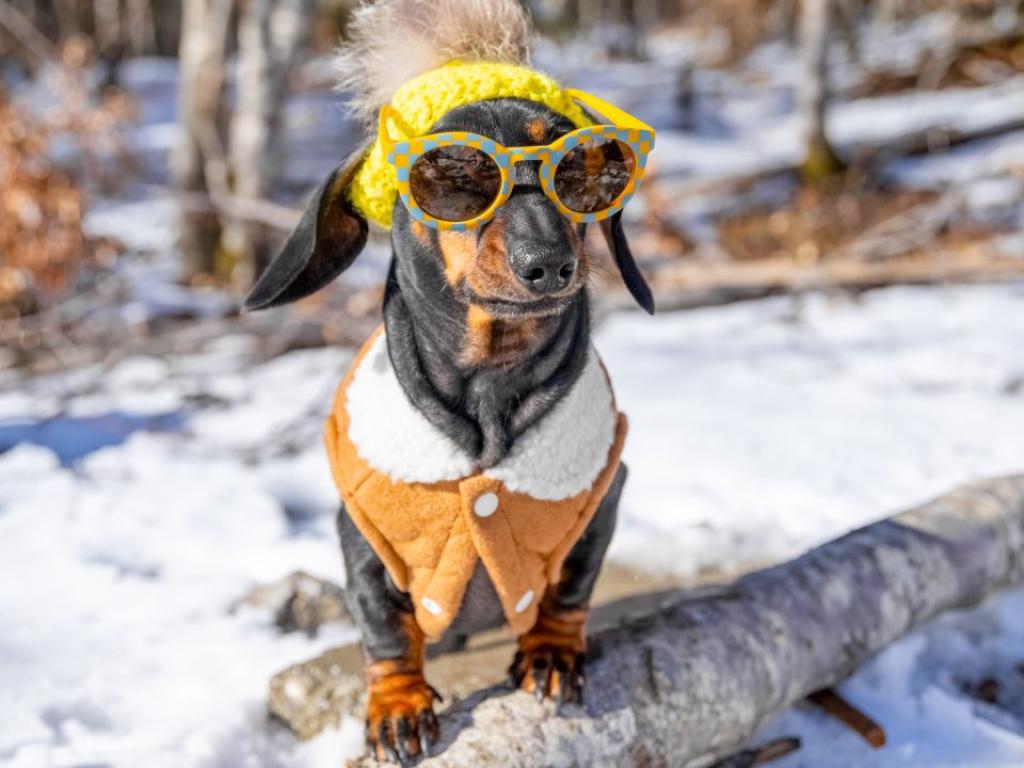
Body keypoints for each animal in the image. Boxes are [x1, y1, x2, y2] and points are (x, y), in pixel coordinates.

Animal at [243, 0, 651, 761]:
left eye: (580, 171)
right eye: (454, 177)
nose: (548, 264)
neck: (491, 385)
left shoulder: (604, 496)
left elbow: (571, 589)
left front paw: (552, 652)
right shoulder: (361, 535)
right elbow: (383, 628)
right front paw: (397, 706)